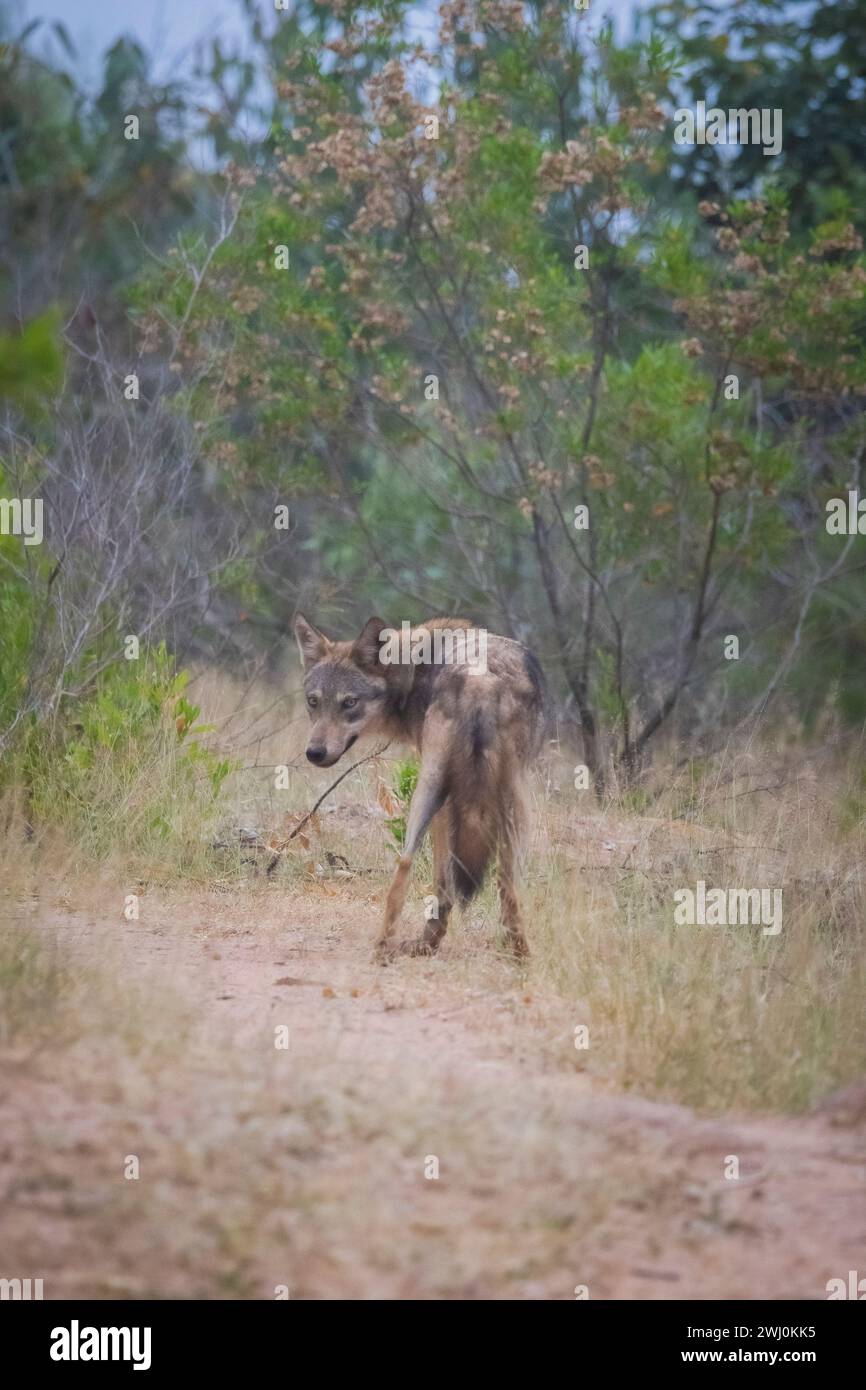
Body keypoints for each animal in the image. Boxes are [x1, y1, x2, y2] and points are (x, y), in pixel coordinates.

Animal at [294, 614, 544, 961]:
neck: (412, 670)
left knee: (413, 865)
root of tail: (481, 680)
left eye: (350, 703)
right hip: (504, 800)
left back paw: (398, 947)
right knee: (494, 879)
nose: (315, 753)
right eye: (313, 702)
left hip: (445, 792)